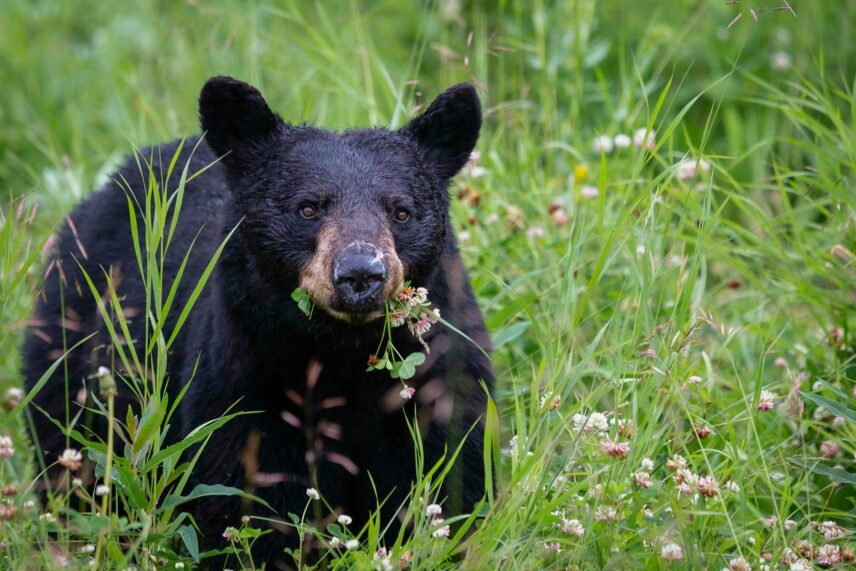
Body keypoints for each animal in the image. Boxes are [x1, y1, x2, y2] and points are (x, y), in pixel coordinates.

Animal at [22, 76, 493, 566]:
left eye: (401, 211)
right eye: (308, 208)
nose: (360, 273)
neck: (341, 354)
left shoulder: (440, 379)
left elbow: (451, 480)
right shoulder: (243, 382)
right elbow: (246, 500)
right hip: (70, 347)